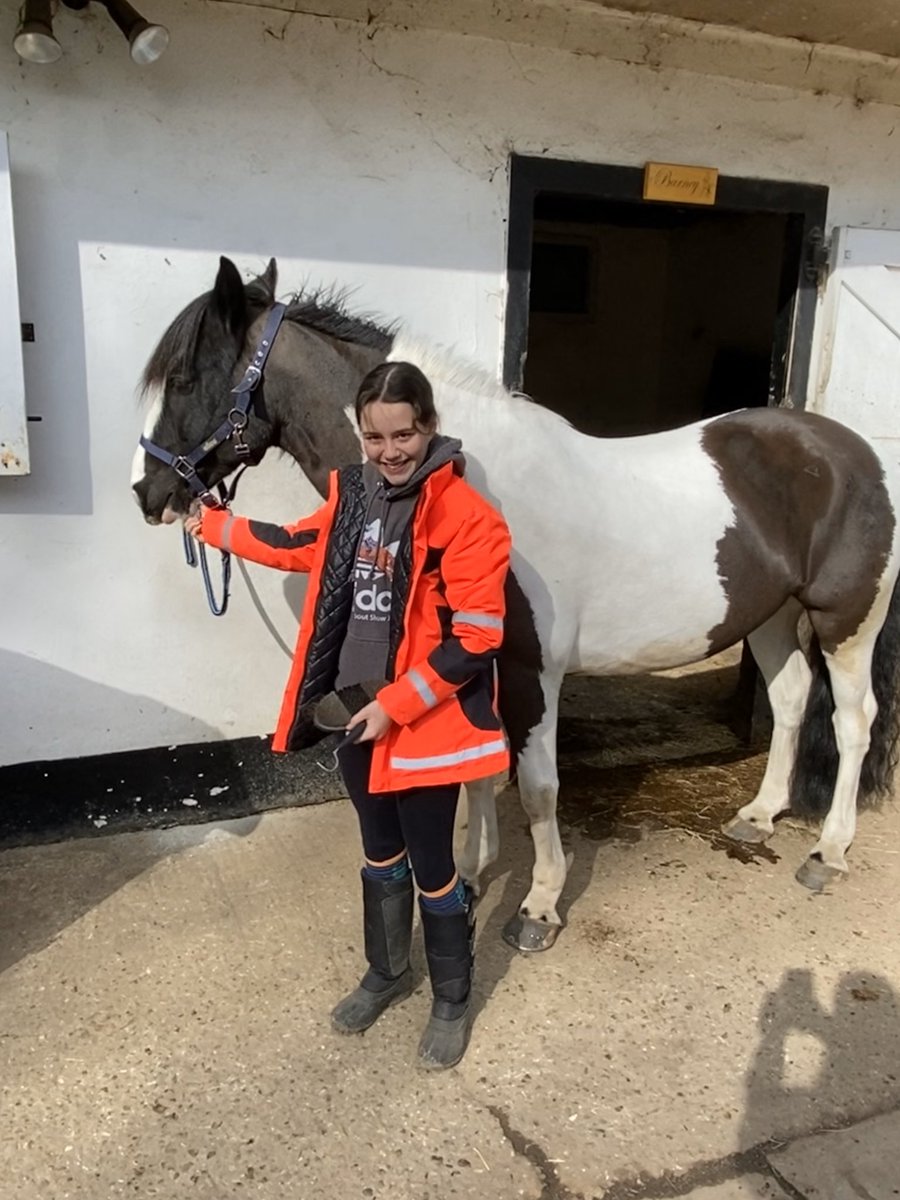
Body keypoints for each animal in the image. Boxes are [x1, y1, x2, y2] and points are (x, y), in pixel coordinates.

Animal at [132, 255, 900, 952]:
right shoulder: (468, 661)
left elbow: (536, 786)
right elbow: (477, 771)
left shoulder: (534, 669)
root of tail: (854, 453)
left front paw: (538, 906)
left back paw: (829, 851)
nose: (147, 494)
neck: (475, 482)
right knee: (793, 699)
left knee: (854, 720)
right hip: (771, 615)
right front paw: (473, 874)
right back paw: (760, 815)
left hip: (845, 624)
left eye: (184, 378)